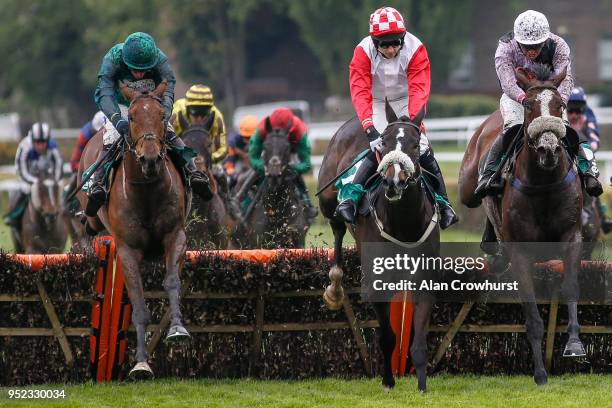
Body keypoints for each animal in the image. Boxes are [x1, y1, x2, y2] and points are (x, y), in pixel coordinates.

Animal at [78, 80, 189, 380]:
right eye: (132, 118)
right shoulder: (127, 250)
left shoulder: (175, 236)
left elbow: (172, 282)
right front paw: (140, 363)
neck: (147, 190)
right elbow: (138, 307)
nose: (150, 159)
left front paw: (178, 328)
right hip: (93, 214)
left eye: (162, 116)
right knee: (87, 224)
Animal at [318, 103, 438, 394]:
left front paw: (421, 385)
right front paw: (388, 380)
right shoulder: (377, 281)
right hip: (327, 200)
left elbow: (419, 339)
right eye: (383, 143)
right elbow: (387, 337)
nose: (394, 181)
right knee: (337, 227)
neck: (404, 222)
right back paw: (335, 287)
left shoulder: (424, 278)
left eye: (416, 145)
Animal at [460, 65, 584, 384]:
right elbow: (531, 312)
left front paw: (575, 344)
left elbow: (571, 287)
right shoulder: (521, 252)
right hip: (467, 188)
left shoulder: (571, 238)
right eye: (528, 106)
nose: (548, 149)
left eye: (560, 105)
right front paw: (540, 372)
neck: (543, 182)